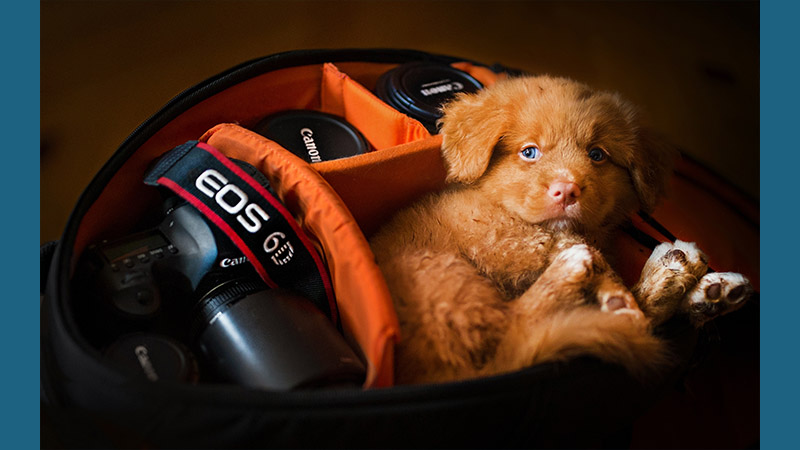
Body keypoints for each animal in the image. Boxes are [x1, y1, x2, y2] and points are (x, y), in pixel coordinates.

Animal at [368, 74, 752, 384]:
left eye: (597, 155)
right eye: (529, 152)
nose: (567, 191)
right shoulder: (497, 235)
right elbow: (570, 245)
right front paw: (613, 287)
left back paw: (699, 290)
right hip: (442, 277)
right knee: (515, 339)